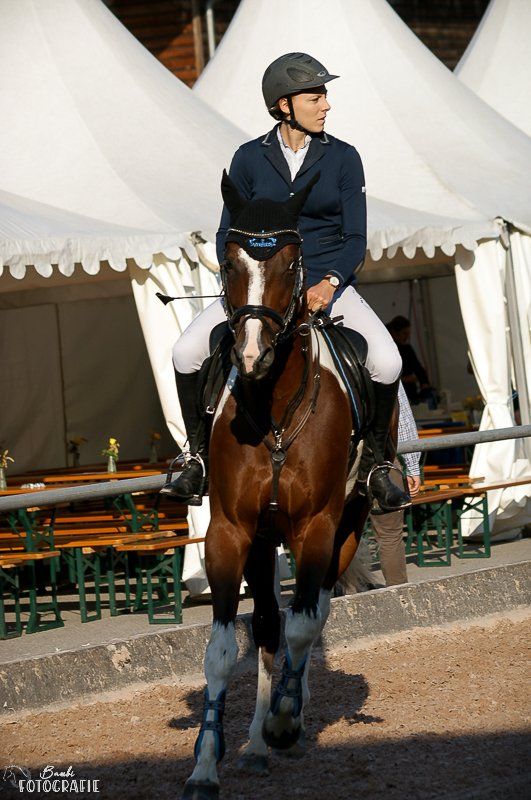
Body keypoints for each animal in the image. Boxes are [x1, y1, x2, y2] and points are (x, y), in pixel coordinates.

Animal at [182, 171, 385, 800]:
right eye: (228, 260)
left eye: (292, 262)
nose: (252, 353)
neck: (272, 411)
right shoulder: (230, 532)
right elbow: (225, 649)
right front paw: (207, 763)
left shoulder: (317, 526)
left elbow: (303, 625)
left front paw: (286, 720)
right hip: (264, 540)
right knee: (272, 625)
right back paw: (253, 742)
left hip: (347, 522)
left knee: (310, 616)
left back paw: (287, 714)